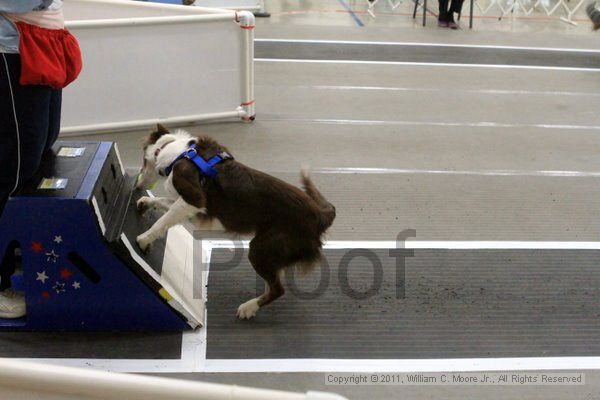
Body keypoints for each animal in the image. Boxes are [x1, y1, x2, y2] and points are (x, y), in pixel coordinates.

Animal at [134, 124, 336, 318]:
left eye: (143, 162)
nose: (137, 185)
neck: (179, 154)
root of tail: (320, 215)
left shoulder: (194, 199)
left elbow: (161, 222)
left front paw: (143, 240)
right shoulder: (192, 208)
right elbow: (162, 203)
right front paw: (145, 203)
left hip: (262, 247)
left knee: (278, 289)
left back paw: (248, 308)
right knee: (274, 281)